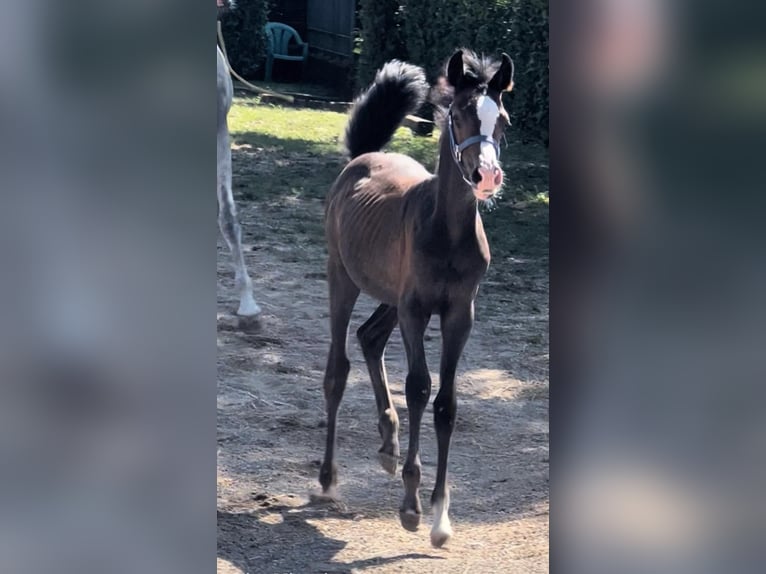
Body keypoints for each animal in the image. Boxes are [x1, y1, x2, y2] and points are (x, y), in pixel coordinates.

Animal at [316, 49, 514, 547]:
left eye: (502, 120)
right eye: (459, 114)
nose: (487, 177)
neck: (448, 232)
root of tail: (362, 157)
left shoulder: (460, 314)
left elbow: (446, 403)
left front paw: (441, 517)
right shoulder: (416, 311)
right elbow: (420, 388)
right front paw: (410, 507)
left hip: (389, 294)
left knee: (369, 338)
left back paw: (388, 443)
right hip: (343, 277)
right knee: (337, 369)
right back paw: (327, 479)